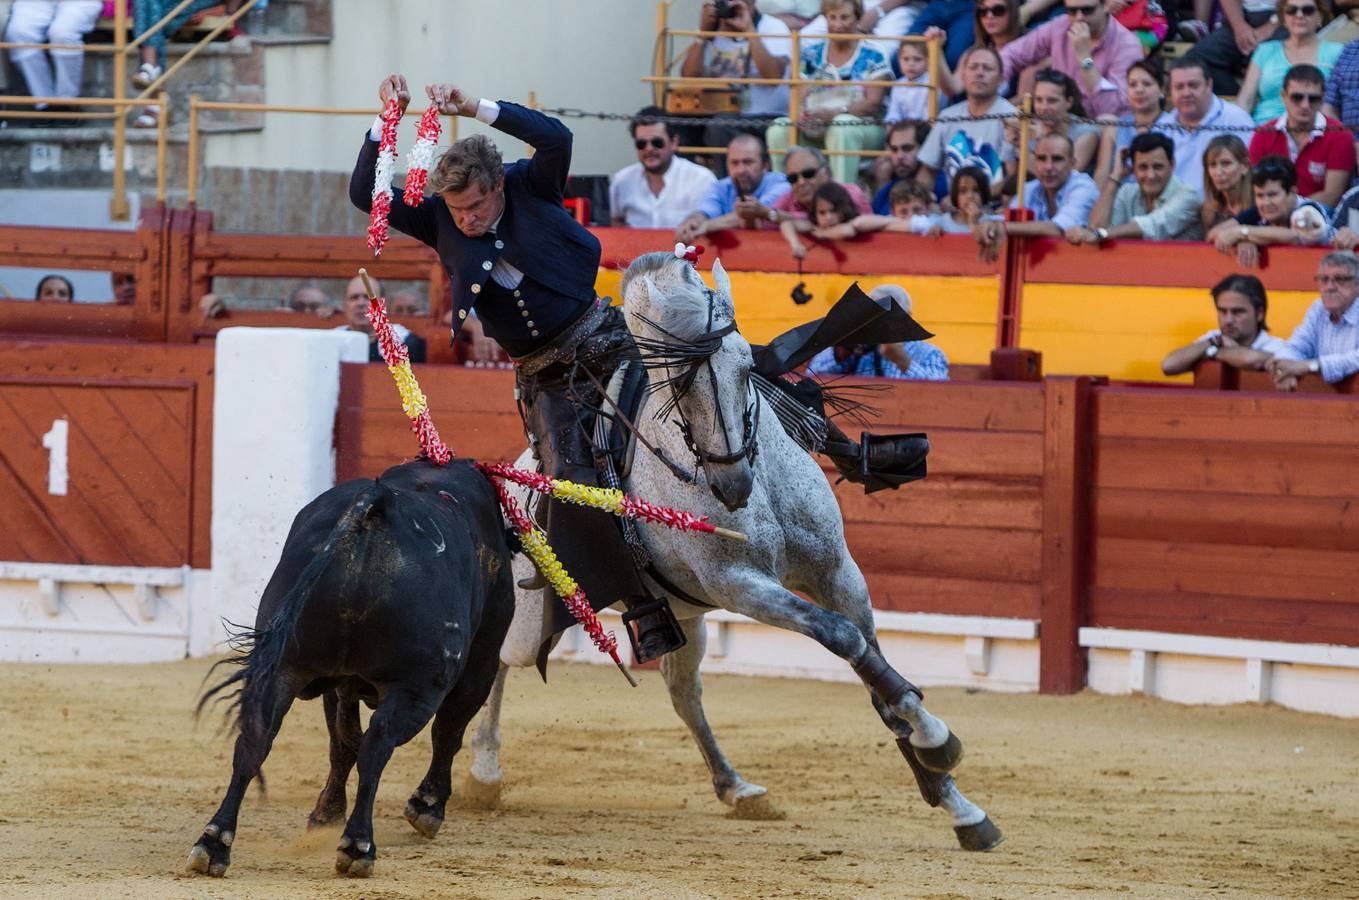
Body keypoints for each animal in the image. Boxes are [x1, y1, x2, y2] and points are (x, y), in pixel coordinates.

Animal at [186, 462, 513, 875]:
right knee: (378, 746)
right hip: (417, 687)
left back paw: (213, 843)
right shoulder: (480, 663)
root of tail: (376, 504)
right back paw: (358, 846)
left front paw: (325, 815)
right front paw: (427, 807)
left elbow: (341, 742)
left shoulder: (338, 680)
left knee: (256, 741)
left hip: (283, 669)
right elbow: (444, 732)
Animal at [464, 254, 1000, 853]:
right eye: (677, 381)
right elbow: (843, 637)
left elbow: (875, 674)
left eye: (747, 368)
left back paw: (736, 787)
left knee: (683, 693)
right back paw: (482, 771)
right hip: (533, 613)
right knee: (501, 660)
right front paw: (938, 740)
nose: (733, 484)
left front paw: (956, 801)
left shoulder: (839, 572)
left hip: (683, 617)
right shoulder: (741, 584)